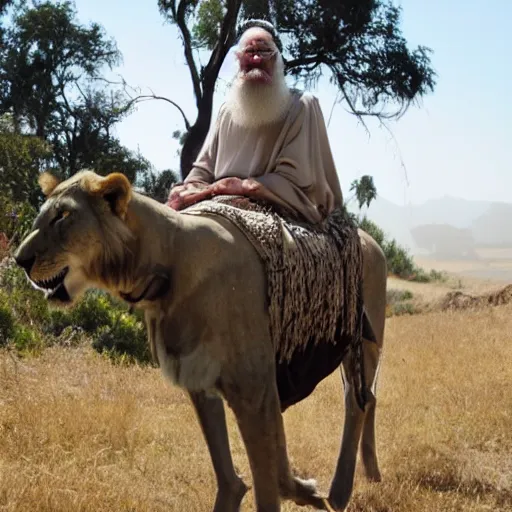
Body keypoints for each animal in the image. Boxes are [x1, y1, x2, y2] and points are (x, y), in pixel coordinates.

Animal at [14, 171, 386, 512]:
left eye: (62, 216)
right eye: (42, 216)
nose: (19, 260)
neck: (165, 266)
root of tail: (371, 239)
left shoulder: (253, 386)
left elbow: (266, 481)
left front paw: (299, 490)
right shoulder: (199, 375)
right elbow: (234, 476)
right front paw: (299, 489)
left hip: (364, 343)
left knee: (358, 400)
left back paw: (340, 493)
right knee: (368, 398)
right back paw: (369, 476)